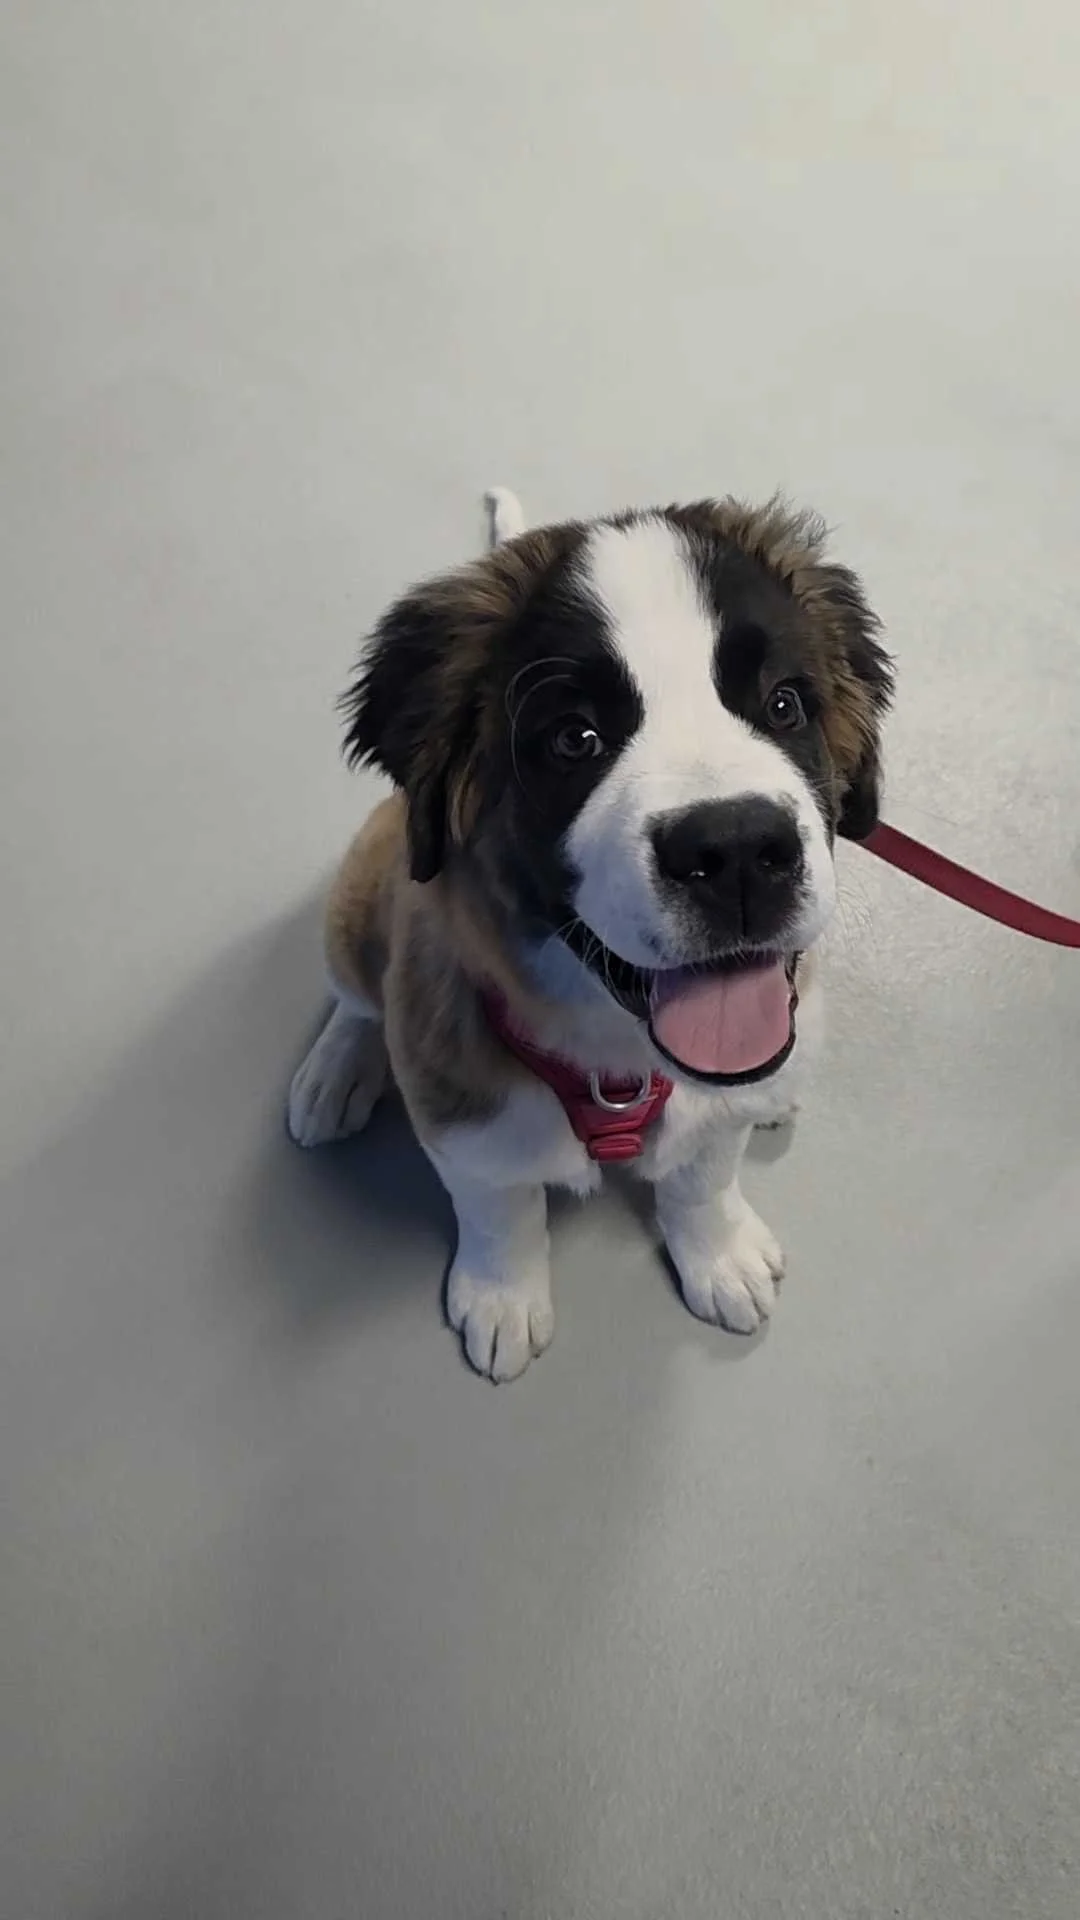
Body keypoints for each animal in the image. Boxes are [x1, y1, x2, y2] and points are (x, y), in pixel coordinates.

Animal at [288, 489, 892, 1380]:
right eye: (574, 738)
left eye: (784, 704)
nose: (738, 851)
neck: (624, 1070)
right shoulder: (461, 1096)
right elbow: (498, 1200)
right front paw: (502, 1296)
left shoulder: (718, 1111)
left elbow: (703, 1173)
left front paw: (718, 1254)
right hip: (359, 896)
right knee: (357, 1000)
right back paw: (334, 1071)